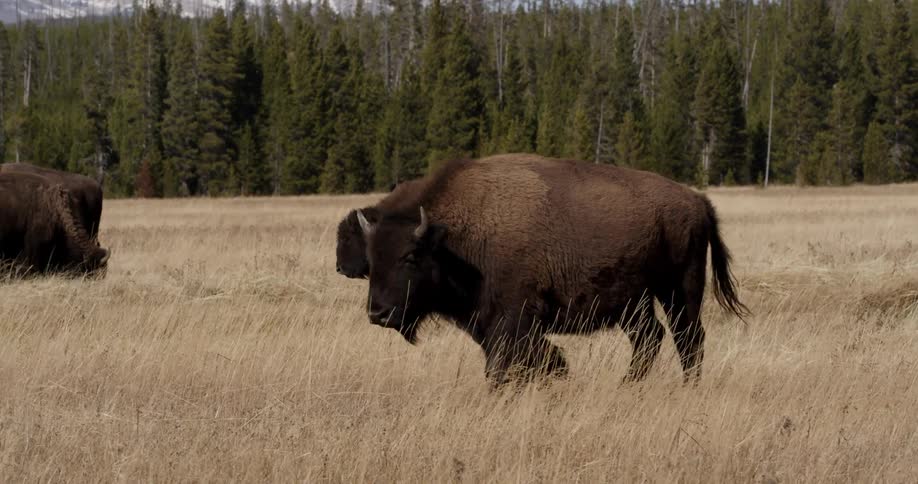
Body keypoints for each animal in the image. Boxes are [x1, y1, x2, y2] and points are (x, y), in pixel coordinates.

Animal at [345, 154, 749, 385]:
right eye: (371, 260)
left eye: (410, 257)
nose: (378, 313)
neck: (454, 238)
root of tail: (697, 200)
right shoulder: (488, 322)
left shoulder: (513, 319)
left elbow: (507, 364)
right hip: (634, 302)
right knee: (650, 338)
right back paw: (627, 386)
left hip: (680, 288)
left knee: (688, 338)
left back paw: (686, 387)